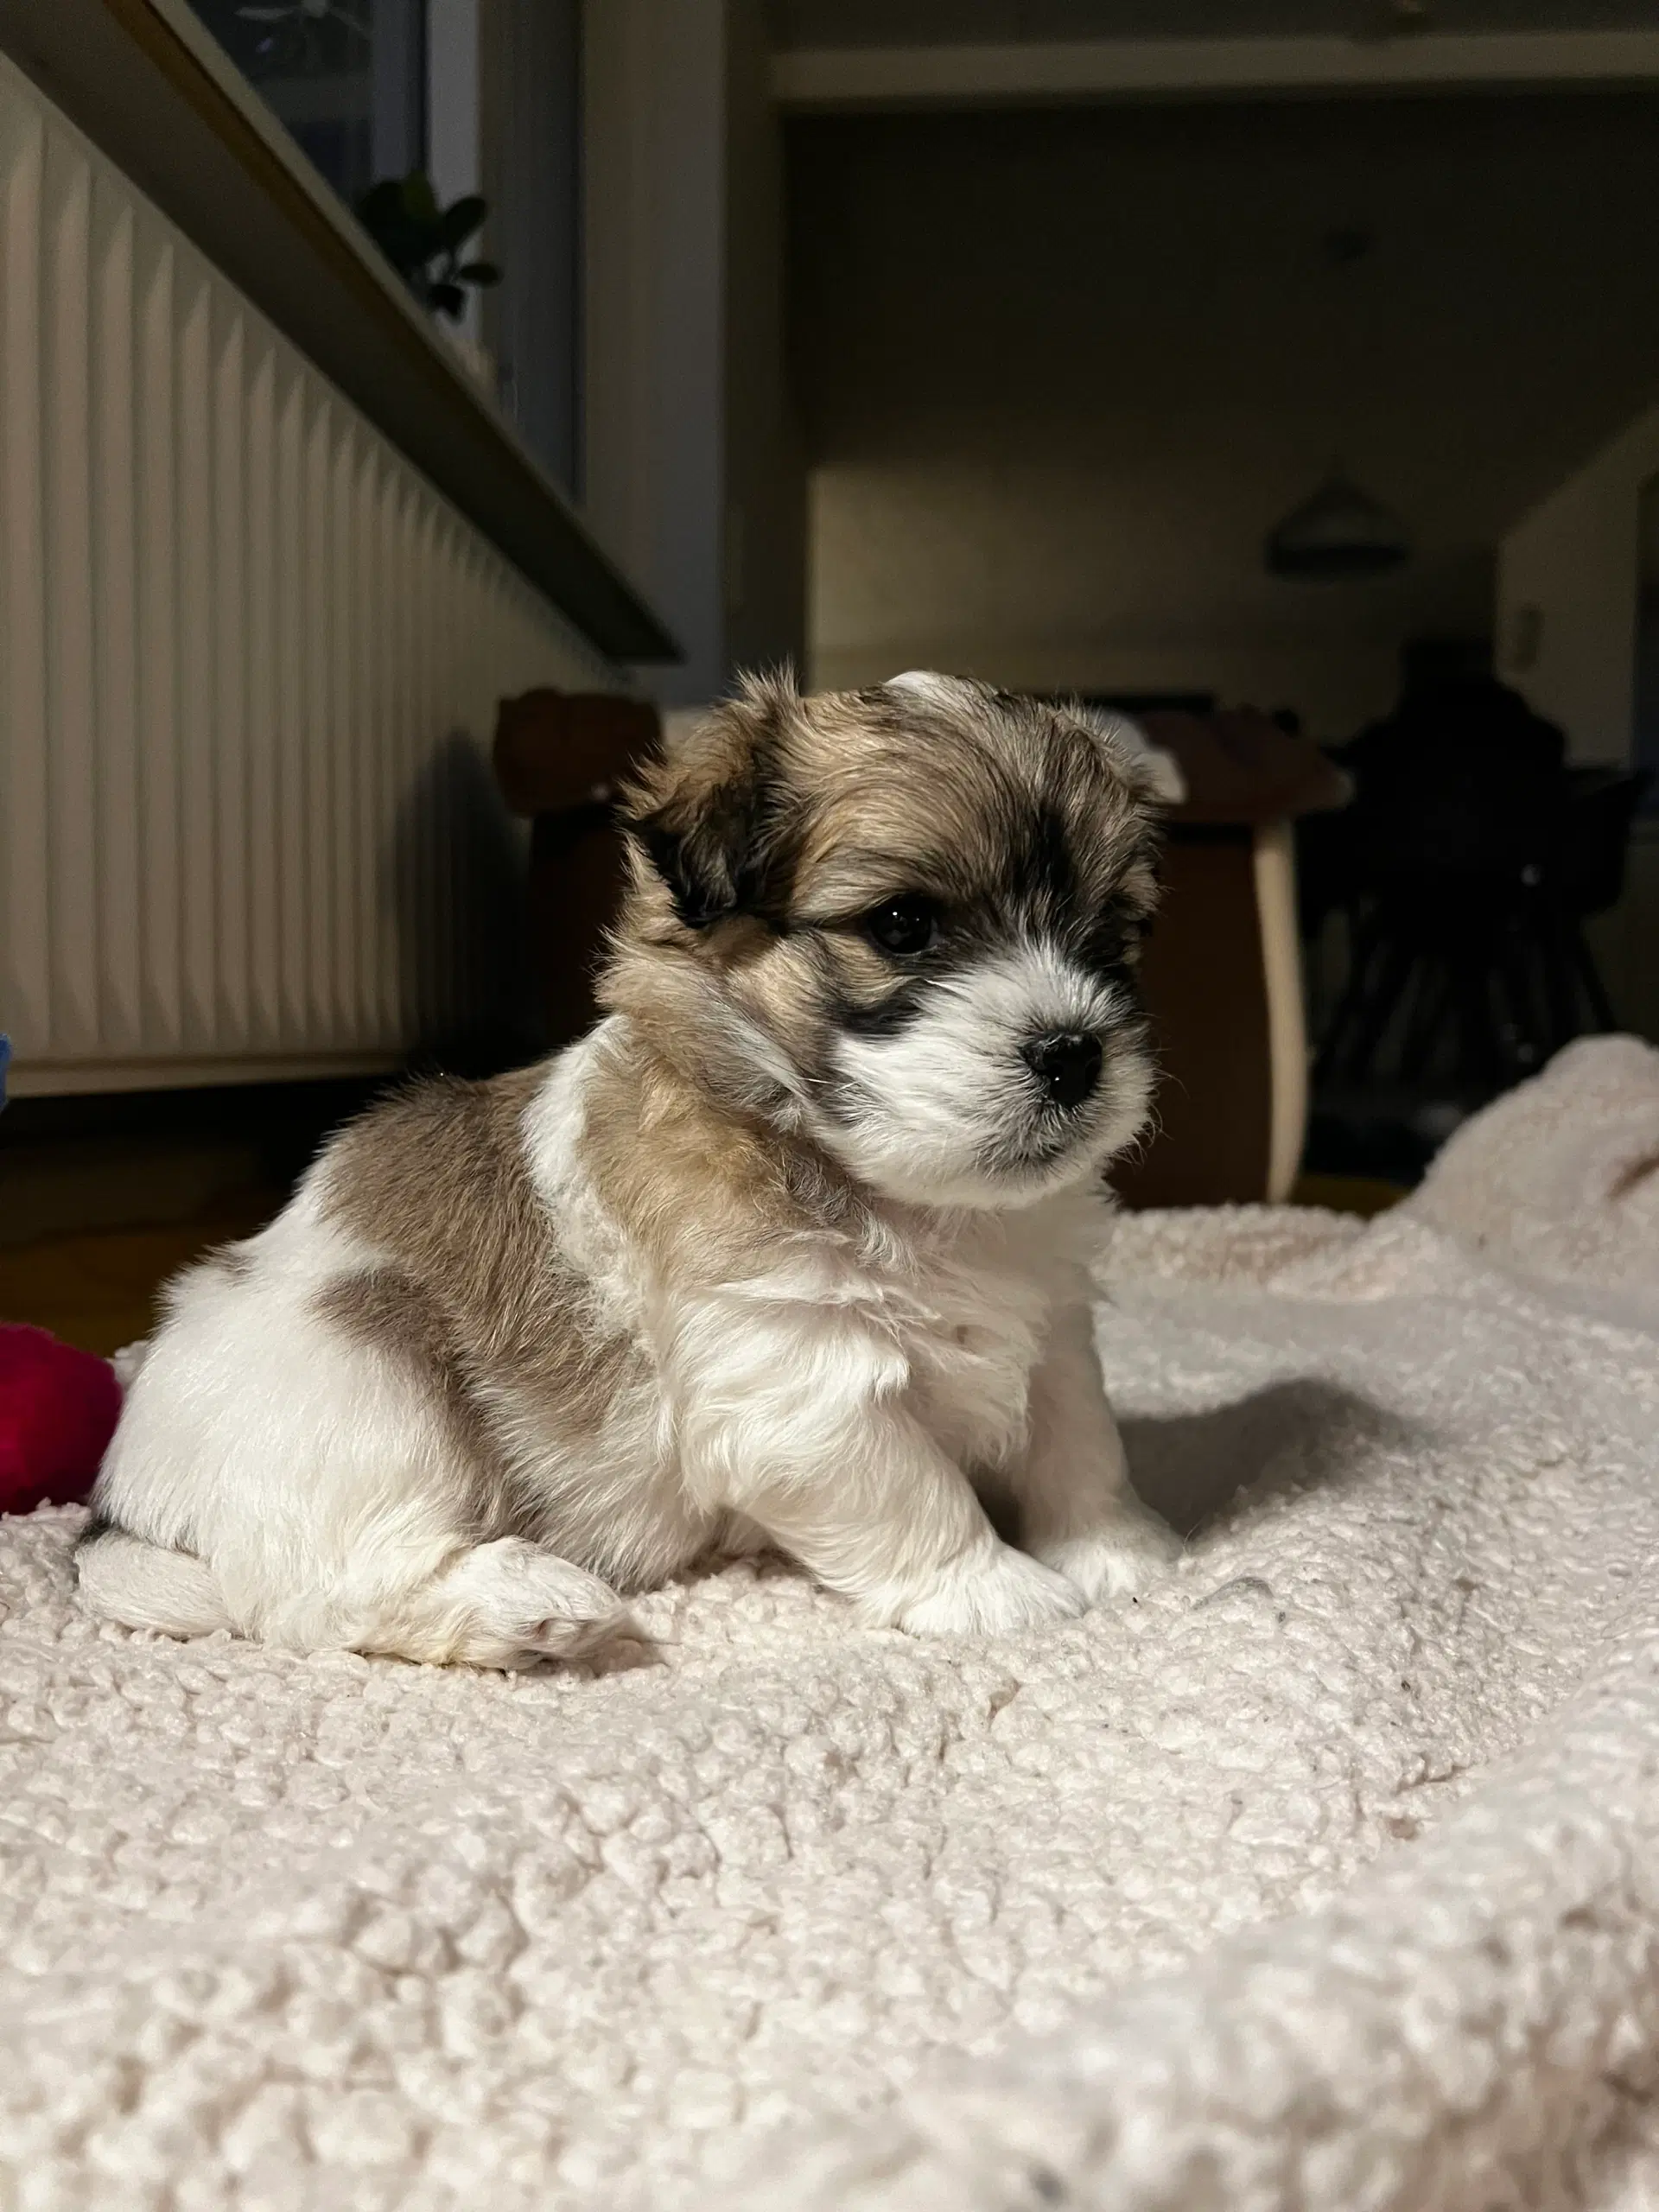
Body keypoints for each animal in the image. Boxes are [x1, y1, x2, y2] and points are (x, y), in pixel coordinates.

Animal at [81, 664, 1185, 1663]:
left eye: (1109, 933)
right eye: (902, 924)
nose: (1074, 1051)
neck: (911, 1199)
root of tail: (120, 1510)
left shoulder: (1053, 1327)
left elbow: (1081, 1443)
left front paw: (1124, 1555)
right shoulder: (798, 1383)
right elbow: (917, 1491)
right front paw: (1000, 1591)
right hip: (361, 1368)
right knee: (323, 1592)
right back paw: (528, 1606)